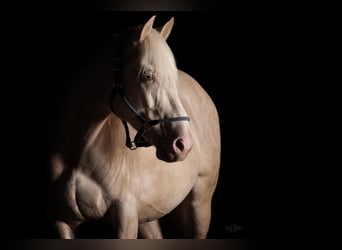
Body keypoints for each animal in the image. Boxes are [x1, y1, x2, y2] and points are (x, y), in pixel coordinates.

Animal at [46, 15, 220, 238]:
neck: (77, 153)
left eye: (173, 79)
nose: (184, 144)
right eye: (148, 76)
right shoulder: (61, 221)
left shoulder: (125, 217)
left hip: (200, 203)